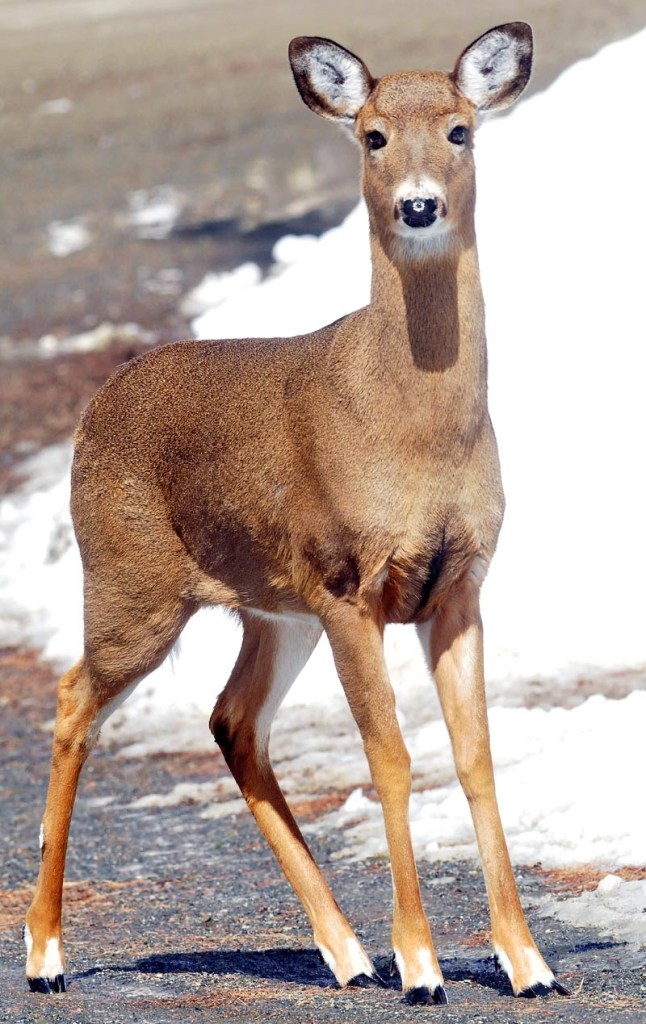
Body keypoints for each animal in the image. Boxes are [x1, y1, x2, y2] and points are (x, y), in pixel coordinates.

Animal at [22, 24, 569, 1007]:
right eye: (374, 135)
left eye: (461, 130)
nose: (420, 206)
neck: (415, 435)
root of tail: (97, 405)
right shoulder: (350, 584)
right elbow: (392, 758)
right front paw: (423, 967)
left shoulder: (458, 586)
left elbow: (475, 757)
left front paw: (528, 963)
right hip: (132, 585)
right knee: (76, 697)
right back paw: (45, 956)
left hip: (272, 611)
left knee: (231, 720)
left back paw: (346, 952)